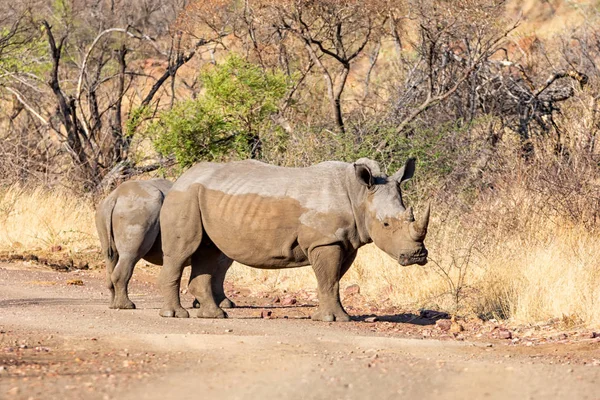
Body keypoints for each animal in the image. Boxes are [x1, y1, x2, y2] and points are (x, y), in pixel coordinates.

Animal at [95, 180, 233, 310]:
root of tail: (115, 197)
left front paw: (199, 304)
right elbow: (219, 272)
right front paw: (225, 304)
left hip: (103, 211)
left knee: (111, 257)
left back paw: (114, 305)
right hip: (139, 210)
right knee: (130, 255)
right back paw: (127, 306)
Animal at [158, 158, 432, 320]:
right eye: (386, 224)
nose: (417, 256)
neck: (359, 195)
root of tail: (181, 177)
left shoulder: (344, 242)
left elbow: (331, 280)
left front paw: (326, 316)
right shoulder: (326, 241)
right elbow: (330, 279)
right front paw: (336, 319)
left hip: (202, 198)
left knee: (208, 251)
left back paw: (214, 315)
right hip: (184, 196)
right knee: (182, 253)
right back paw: (175, 315)